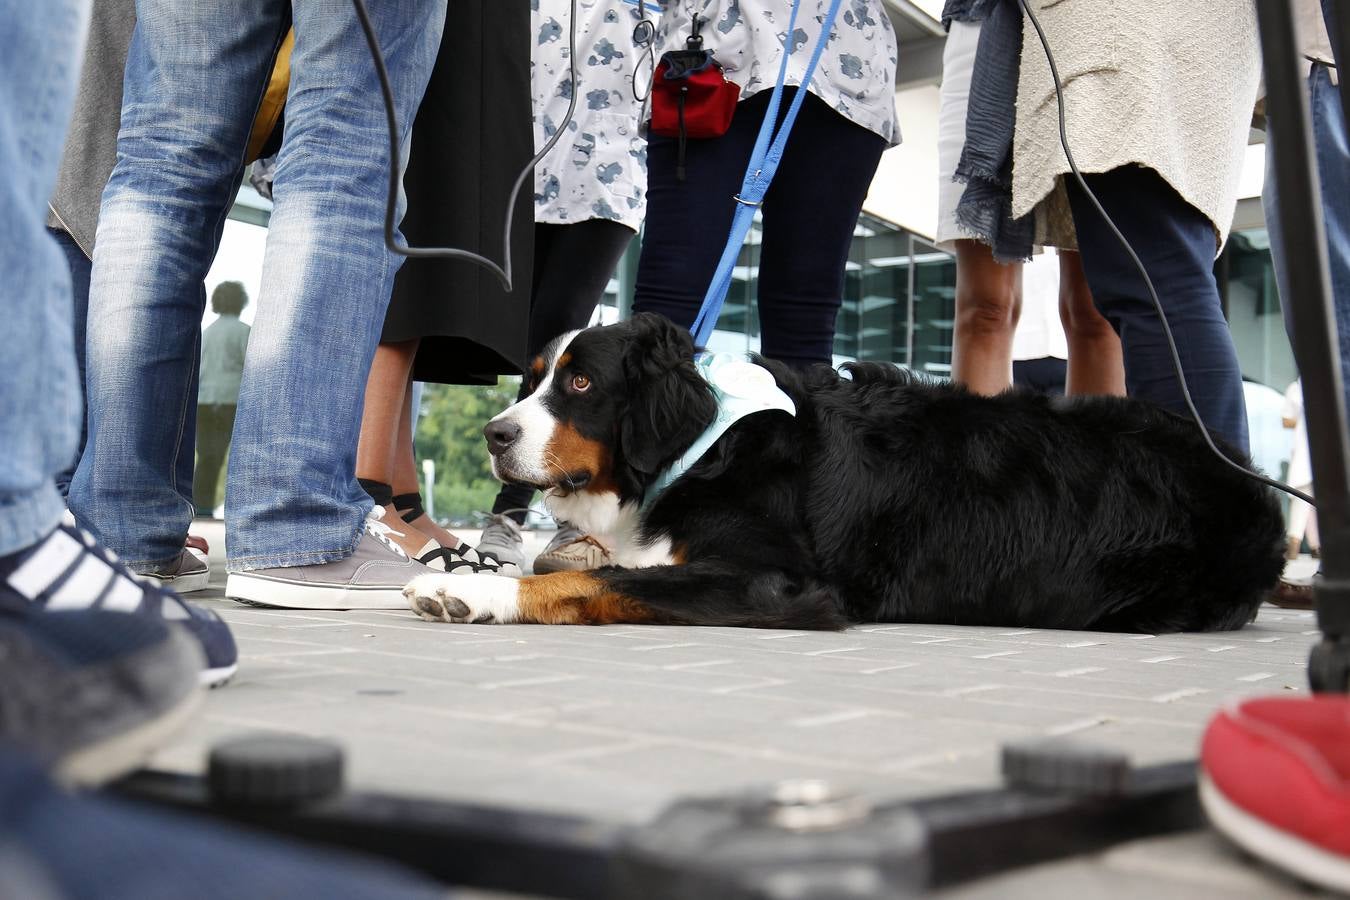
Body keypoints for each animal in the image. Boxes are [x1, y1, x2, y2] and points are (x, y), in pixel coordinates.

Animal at [402, 313, 1285, 631]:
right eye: (533, 378)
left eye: (582, 384)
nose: (494, 433)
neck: (707, 445)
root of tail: (1253, 482)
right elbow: (598, 565)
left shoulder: (778, 580)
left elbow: (599, 581)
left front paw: (477, 592)